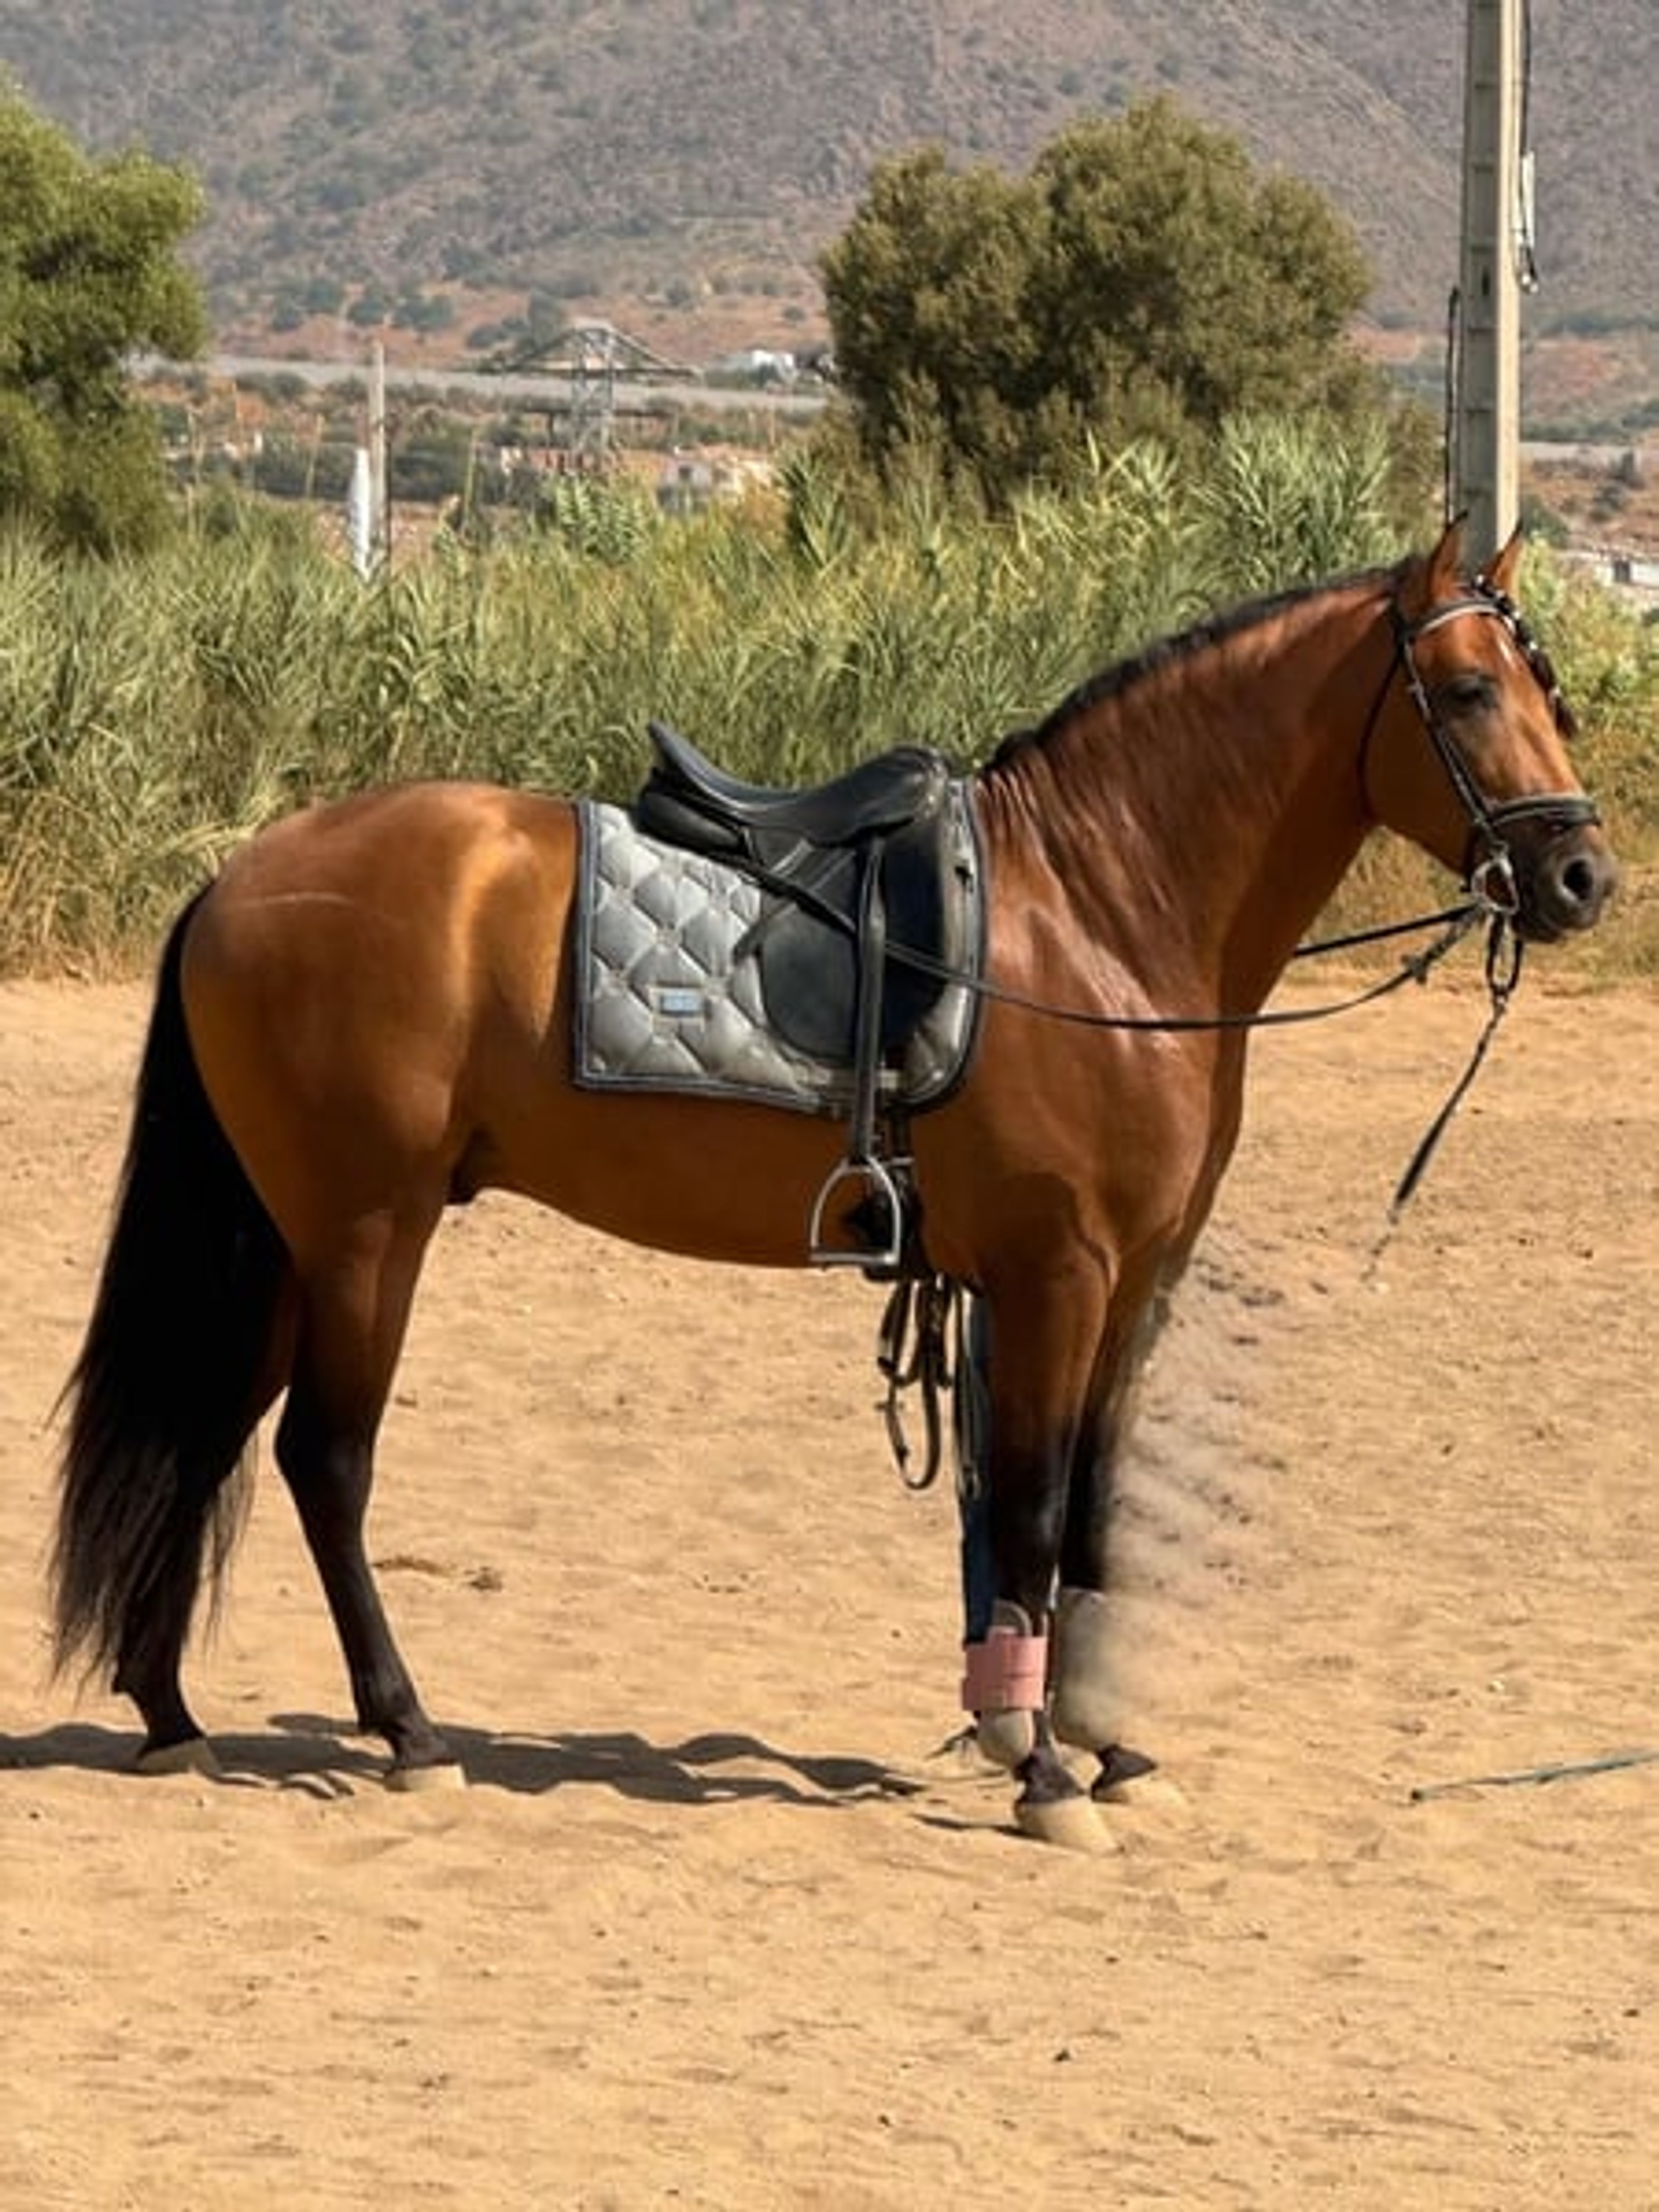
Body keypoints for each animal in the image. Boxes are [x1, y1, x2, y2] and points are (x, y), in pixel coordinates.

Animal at [50, 523, 1616, 1850]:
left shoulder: (1131, 1289)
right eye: (1468, 689)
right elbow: (1034, 1507)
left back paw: (171, 1714)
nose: (1583, 877)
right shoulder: (1055, 1279)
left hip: (285, 1238)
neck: (1094, 918)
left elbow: (1095, 1514)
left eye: (1545, 685)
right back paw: (407, 1732)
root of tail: (241, 880)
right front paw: (1045, 1772)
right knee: (324, 1460)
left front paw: (1102, 1746)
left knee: (205, 1433)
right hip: (366, 1234)